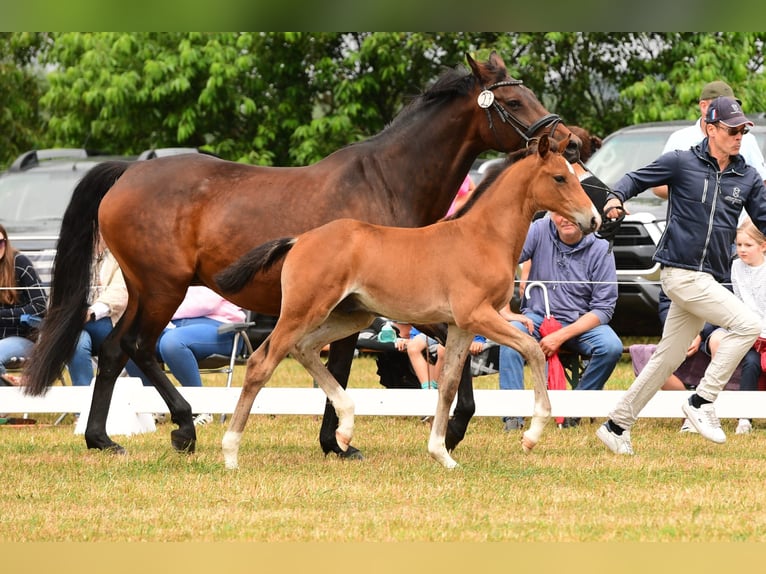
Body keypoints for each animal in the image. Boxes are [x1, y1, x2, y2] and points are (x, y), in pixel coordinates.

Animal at [215, 134, 600, 469]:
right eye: (560, 177)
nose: (594, 219)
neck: (483, 237)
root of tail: (299, 240)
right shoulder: (478, 315)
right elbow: (533, 349)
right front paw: (532, 435)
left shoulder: (460, 326)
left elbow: (447, 385)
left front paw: (442, 454)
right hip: (302, 312)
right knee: (261, 362)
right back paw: (231, 453)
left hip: (349, 317)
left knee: (304, 349)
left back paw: (346, 428)